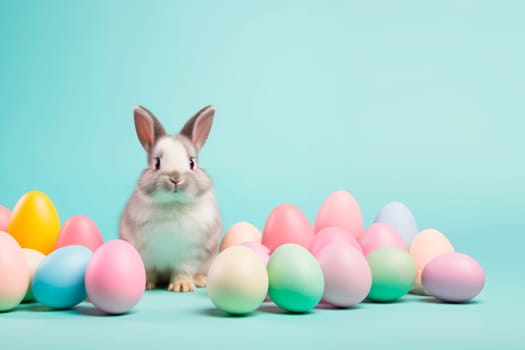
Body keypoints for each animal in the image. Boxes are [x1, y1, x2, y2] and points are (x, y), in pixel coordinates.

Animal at [119, 104, 221, 292]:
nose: (175, 178)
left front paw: (182, 286)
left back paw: (201, 280)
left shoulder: (189, 254)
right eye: (157, 163)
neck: (173, 205)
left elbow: (182, 270)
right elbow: (149, 270)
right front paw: (145, 284)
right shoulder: (145, 253)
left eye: (192, 163)